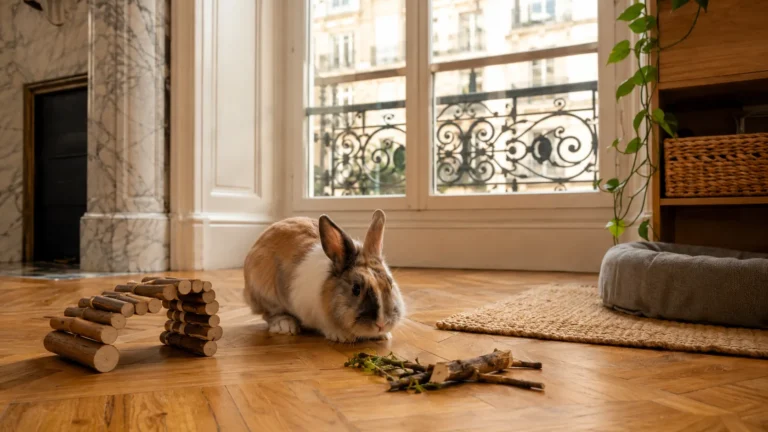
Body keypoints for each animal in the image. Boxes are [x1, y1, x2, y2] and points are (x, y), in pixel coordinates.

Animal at [243, 209, 405, 343]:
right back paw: (285, 325)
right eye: (356, 289)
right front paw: (341, 336)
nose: (382, 324)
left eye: (390, 284)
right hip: (266, 292)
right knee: (269, 314)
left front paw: (384, 335)